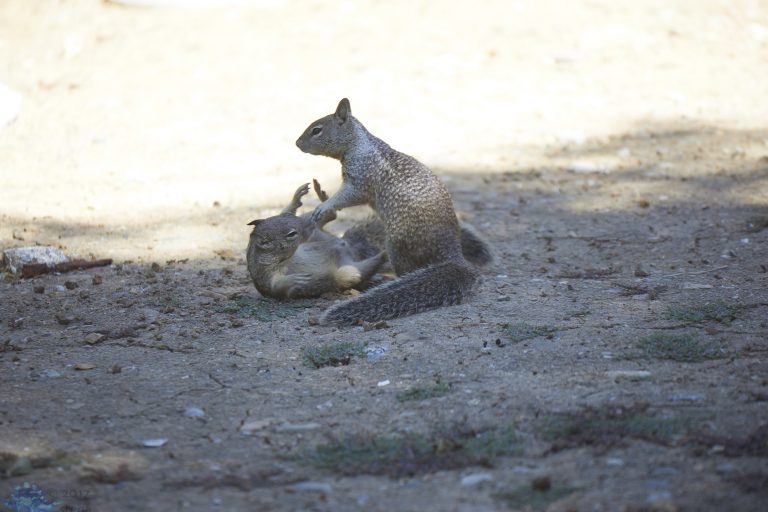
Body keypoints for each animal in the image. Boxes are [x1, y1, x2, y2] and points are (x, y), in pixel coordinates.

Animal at [246, 181, 387, 299]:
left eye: (290, 216)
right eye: (291, 234)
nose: (310, 222)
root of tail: (347, 246)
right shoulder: (266, 277)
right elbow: (278, 288)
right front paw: (296, 280)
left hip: (315, 232)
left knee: (331, 215)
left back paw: (314, 198)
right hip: (345, 271)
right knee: (361, 271)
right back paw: (383, 255)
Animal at [296, 98, 492, 325]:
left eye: (316, 130)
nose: (297, 143)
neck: (359, 144)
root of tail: (452, 255)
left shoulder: (360, 178)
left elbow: (349, 195)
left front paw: (324, 206)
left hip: (396, 246)